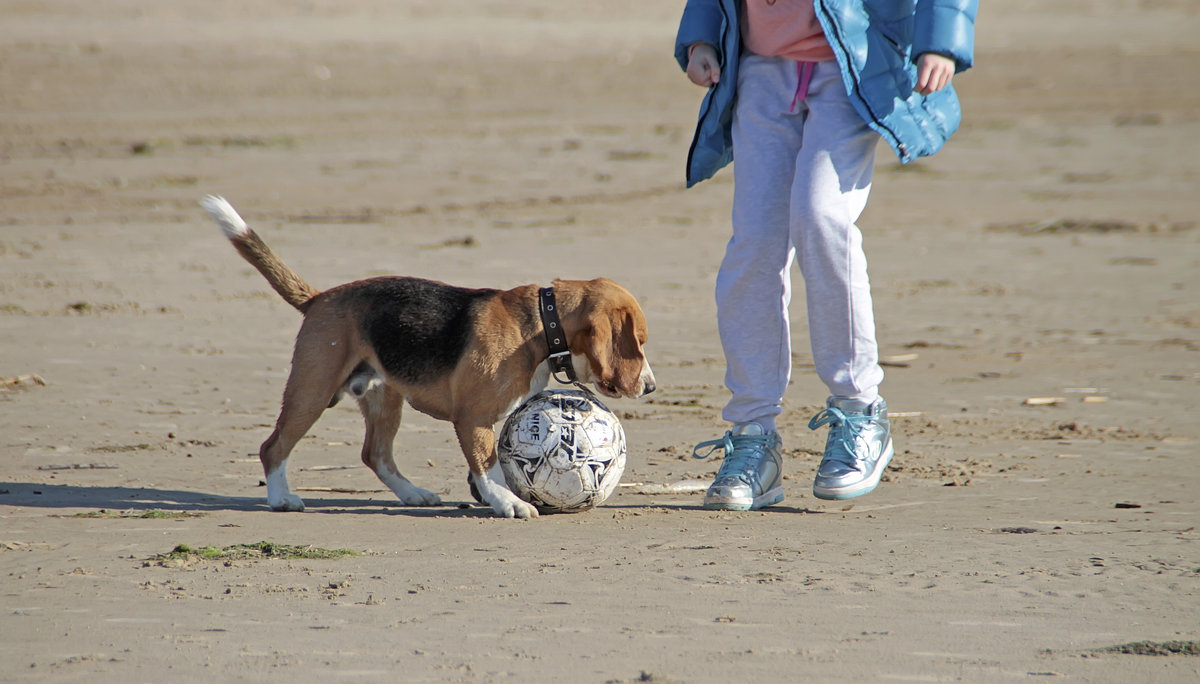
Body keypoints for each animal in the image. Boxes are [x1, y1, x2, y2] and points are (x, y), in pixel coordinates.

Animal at [204, 195, 657, 516]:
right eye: (640, 341)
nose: (651, 387)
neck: (542, 323)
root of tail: (319, 298)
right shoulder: (472, 418)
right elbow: (489, 463)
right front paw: (507, 501)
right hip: (312, 390)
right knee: (274, 447)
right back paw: (281, 498)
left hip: (384, 397)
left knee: (376, 455)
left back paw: (413, 493)